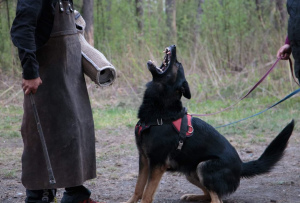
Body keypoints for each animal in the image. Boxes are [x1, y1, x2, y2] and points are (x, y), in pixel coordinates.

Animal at [125, 45, 294, 202]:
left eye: (178, 64)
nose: (173, 46)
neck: (161, 111)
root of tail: (241, 166)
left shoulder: (157, 164)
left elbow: (147, 194)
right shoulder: (144, 159)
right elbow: (138, 189)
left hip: (204, 167)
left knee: (216, 199)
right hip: (191, 172)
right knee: (209, 195)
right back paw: (192, 196)